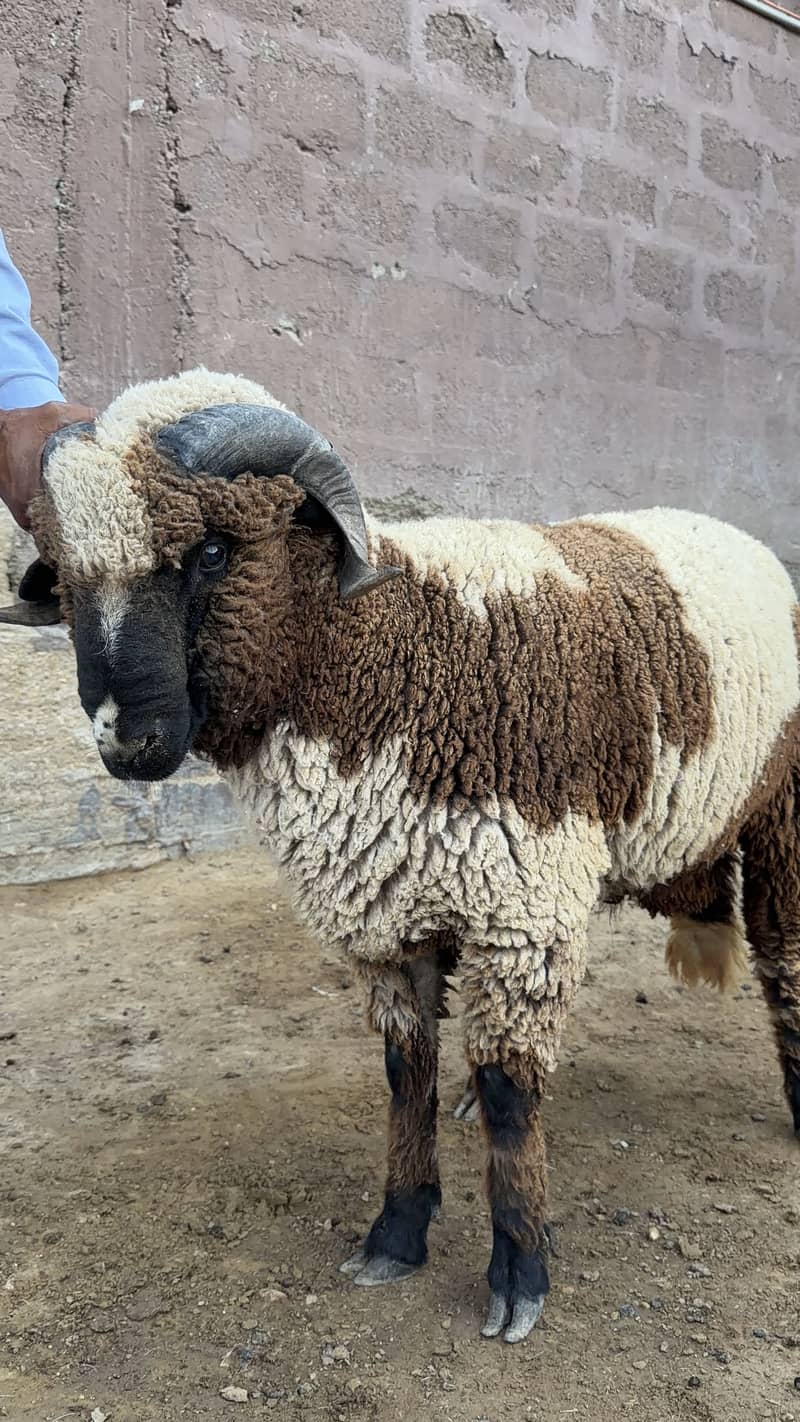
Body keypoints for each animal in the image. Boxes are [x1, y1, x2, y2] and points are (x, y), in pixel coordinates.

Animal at [6, 367, 799, 1345]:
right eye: (65, 581)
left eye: (214, 551)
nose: (128, 743)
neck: (395, 645)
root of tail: (734, 535)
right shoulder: (389, 915)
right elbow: (404, 1073)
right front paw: (397, 1229)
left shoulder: (521, 910)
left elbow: (510, 1093)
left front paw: (519, 1273)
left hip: (782, 812)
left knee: (785, 956)